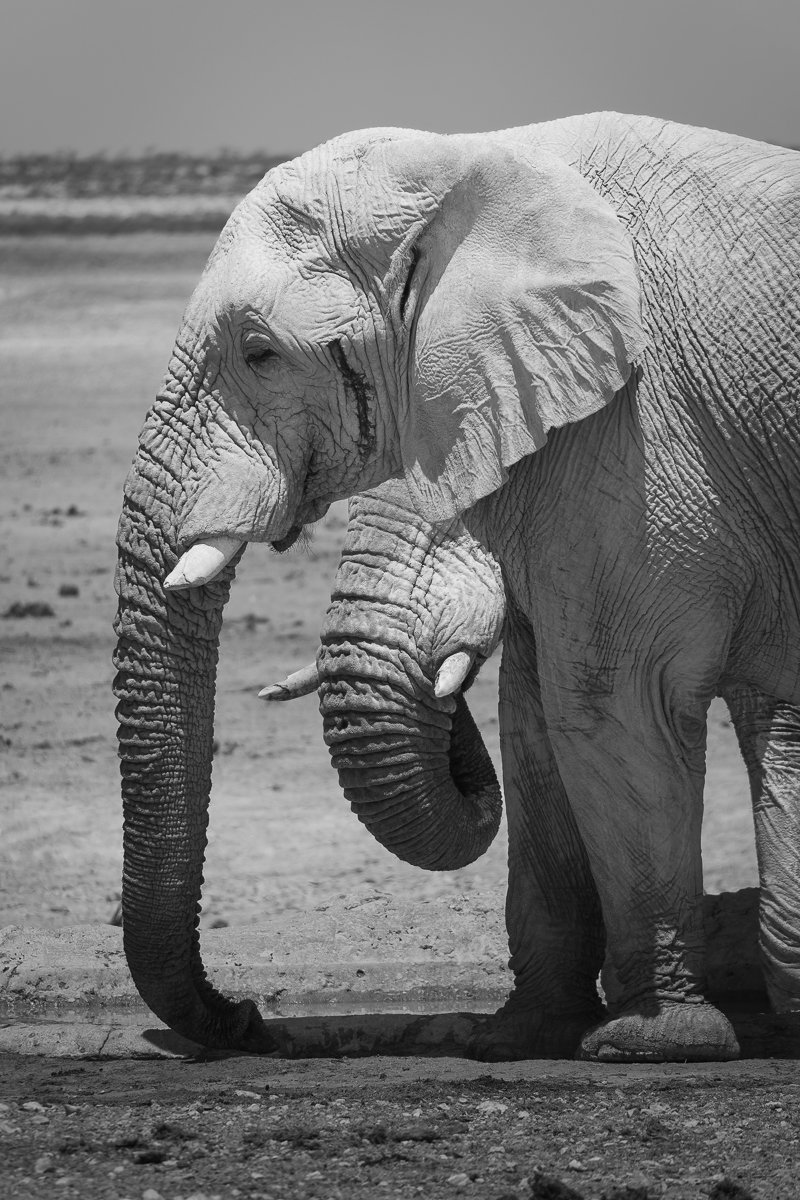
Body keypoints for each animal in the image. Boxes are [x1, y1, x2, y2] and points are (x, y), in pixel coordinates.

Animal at [114, 110, 800, 1061]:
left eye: (259, 353)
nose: (247, 1017)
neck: (473, 156)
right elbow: (536, 719)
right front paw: (518, 1037)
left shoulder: (642, 431)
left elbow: (616, 704)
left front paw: (650, 1043)